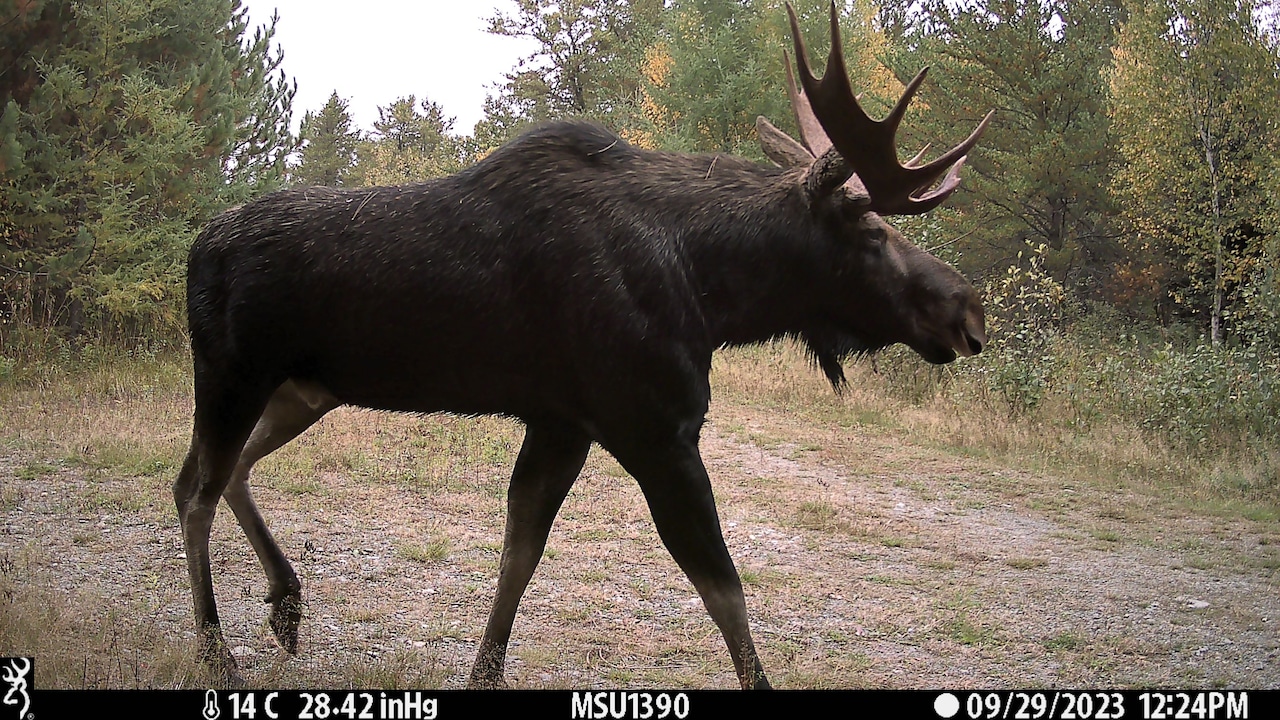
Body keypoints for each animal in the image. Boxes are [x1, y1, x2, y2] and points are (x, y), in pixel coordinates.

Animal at [173, 3, 991, 689]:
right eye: (872, 232)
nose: (968, 312)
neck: (711, 291)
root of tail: (195, 249)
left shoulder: (563, 423)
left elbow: (520, 558)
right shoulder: (654, 428)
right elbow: (724, 590)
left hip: (303, 389)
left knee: (224, 472)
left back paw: (285, 601)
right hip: (231, 375)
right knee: (195, 491)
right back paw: (216, 652)